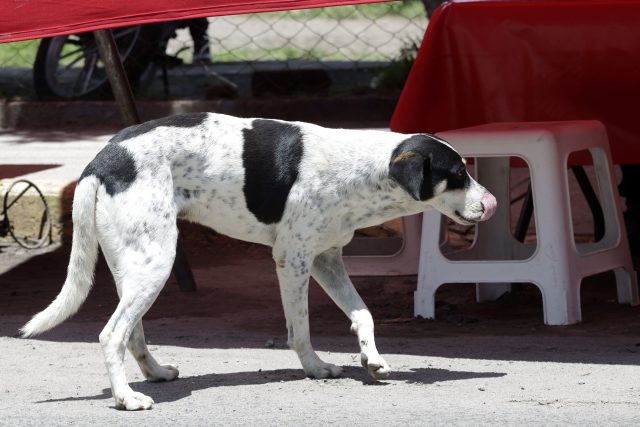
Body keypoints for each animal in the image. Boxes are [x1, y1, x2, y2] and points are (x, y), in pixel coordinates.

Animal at [22, 113, 496, 412]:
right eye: (457, 174)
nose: (491, 203)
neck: (361, 169)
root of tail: (104, 157)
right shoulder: (293, 260)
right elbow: (300, 330)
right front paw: (316, 369)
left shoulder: (327, 260)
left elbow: (363, 315)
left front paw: (372, 359)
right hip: (156, 264)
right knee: (111, 335)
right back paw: (126, 399)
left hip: (137, 268)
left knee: (132, 334)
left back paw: (155, 373)